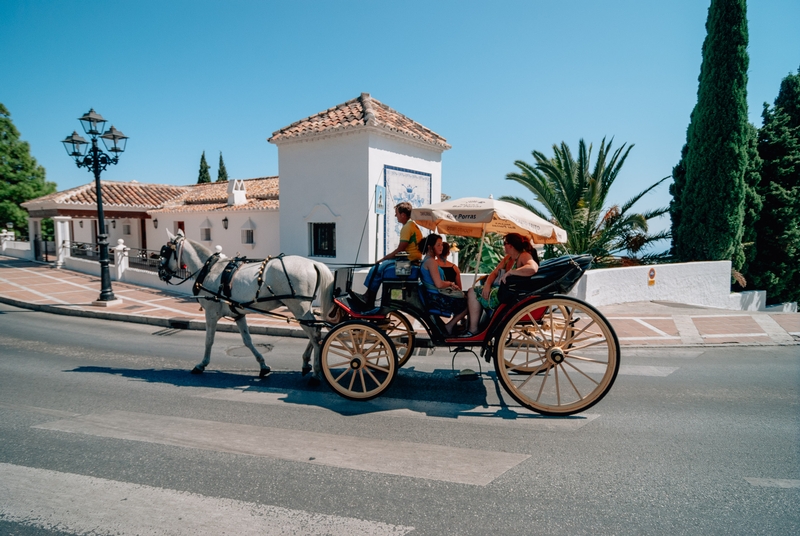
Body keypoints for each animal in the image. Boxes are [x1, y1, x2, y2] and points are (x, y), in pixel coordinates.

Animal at [159, 228, 334, 384]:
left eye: (165, 251)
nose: (161, 273)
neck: (210, 269)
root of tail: (313, 263)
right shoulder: (238, 314)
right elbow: (247, 341)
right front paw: (263, 366)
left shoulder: (211, 313)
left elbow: (209, 340)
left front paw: (201, 364)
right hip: (304, 308)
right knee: (316, 330)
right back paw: (306, 363)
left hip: (298, 306)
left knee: (314, 334)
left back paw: (316, 373)